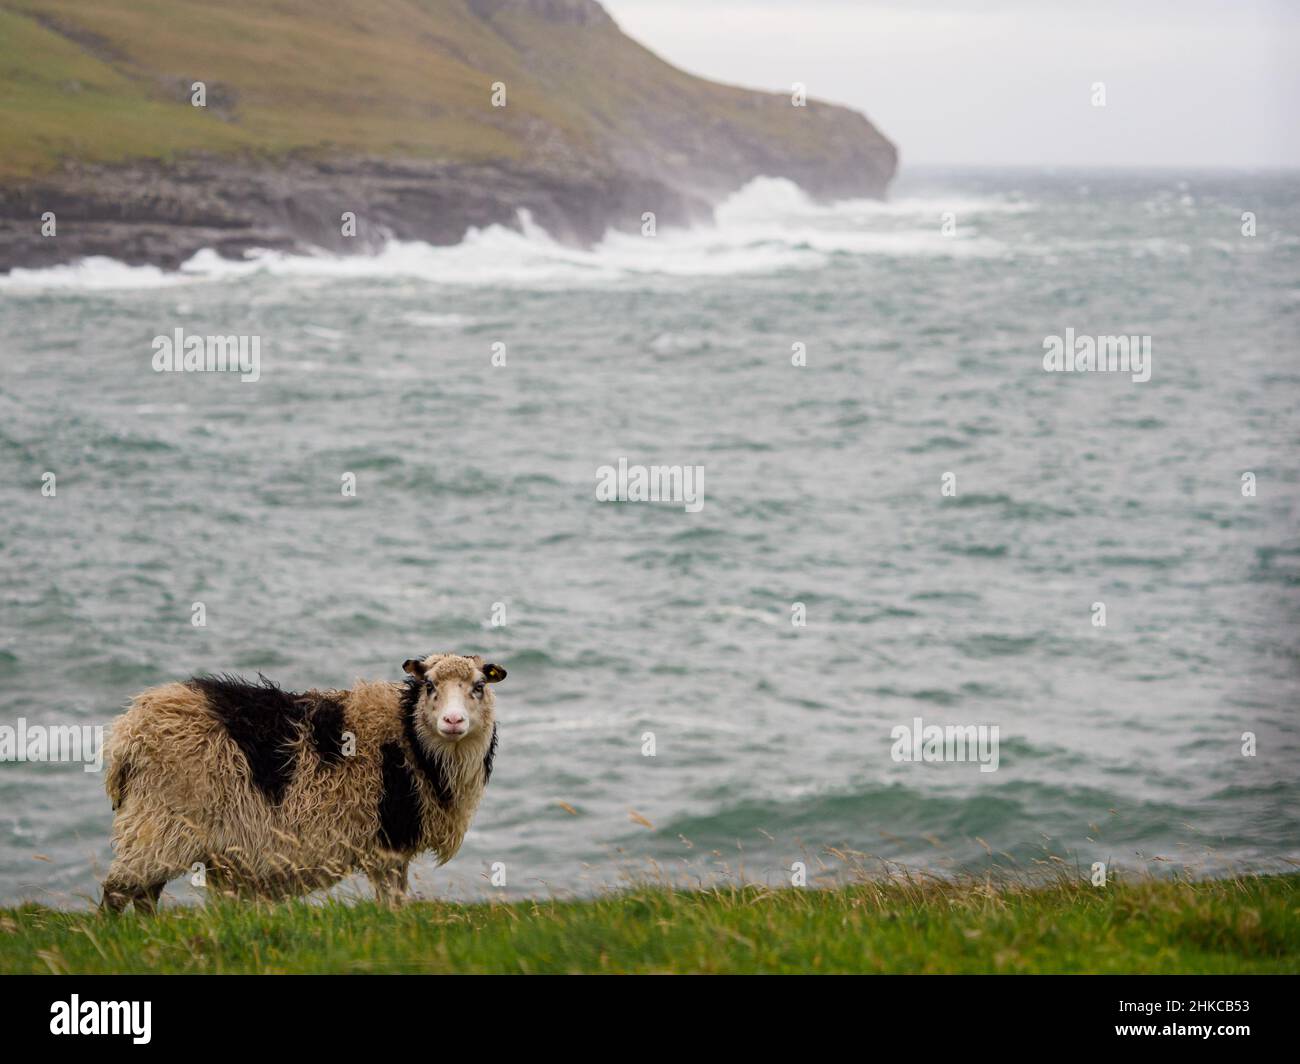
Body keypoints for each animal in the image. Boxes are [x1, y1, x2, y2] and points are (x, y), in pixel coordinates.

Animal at [98, 650, 504, 910]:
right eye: (430, 686)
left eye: (479, 686)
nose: (453, 721)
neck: (409, 734)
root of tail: (127, 733)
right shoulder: (387, 843)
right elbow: (393, 902)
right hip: (159, 820)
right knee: (118, 891)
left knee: (144, 893)